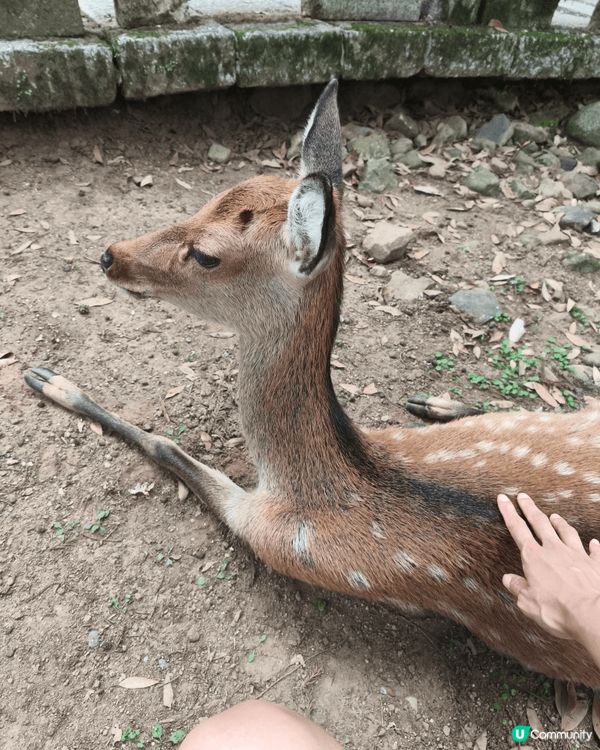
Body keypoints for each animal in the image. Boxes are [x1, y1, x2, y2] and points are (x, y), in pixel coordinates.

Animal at [24, 80, 600, 689]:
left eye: (206, 255)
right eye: (207, 198)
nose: (110, 255)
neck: (328, 473)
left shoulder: (273, 537)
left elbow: (165, 445)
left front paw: (48, 379)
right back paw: (436, 402)